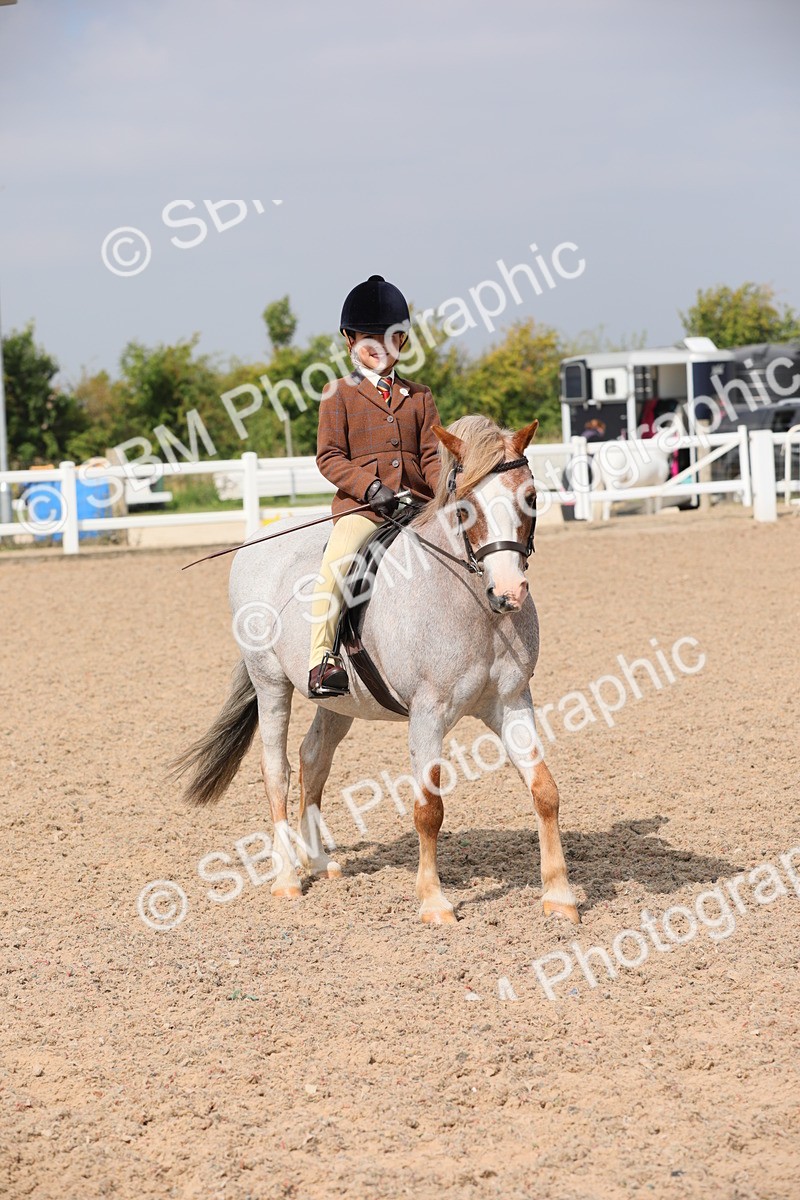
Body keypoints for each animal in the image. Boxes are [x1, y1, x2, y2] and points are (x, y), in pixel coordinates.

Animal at [170, 414, 579, 927]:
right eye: (466, 506)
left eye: (531, 496)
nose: (508, 592)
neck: (475, 606)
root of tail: (256, 545)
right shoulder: (428, 713)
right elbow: (429, 809)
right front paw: (433, 902)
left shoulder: (511, 701)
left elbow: (546, 790)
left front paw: (560, 896)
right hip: (270, 683)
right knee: (276, 769)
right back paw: (287, 878)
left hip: (340, 700)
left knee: (313, 759)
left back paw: (318, 861)